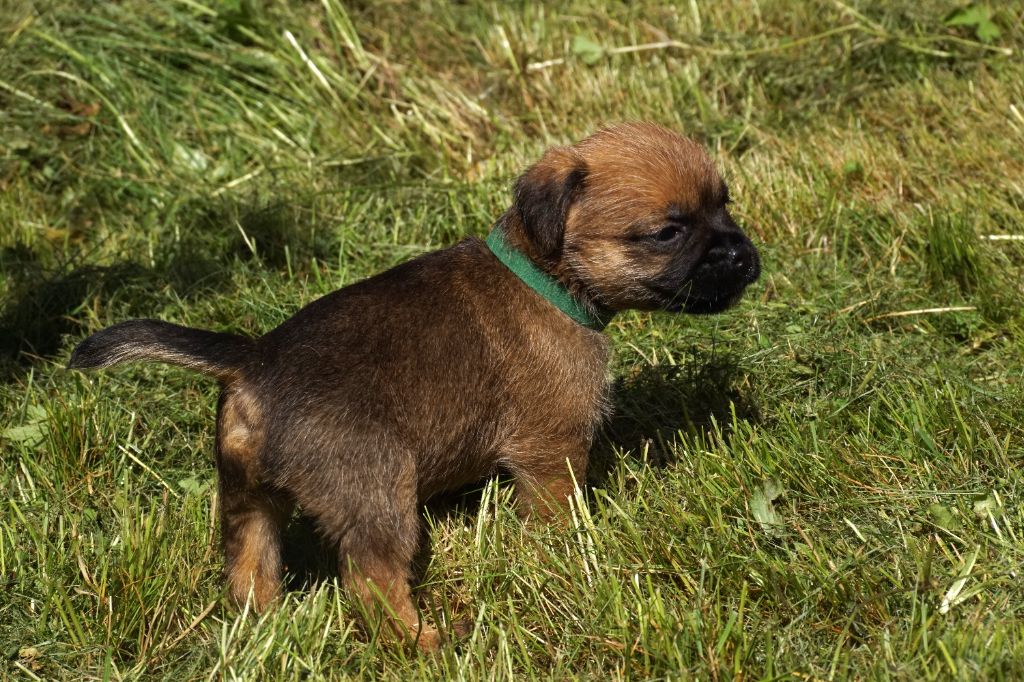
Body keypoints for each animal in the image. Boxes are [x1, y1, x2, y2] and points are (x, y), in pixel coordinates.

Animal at [68, 122, 761, 647]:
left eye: (725, 205)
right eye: (669, 231)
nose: (745, 255)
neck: (545, 274)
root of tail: (257, 359)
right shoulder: (553, 447)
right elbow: (556, 512)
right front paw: (571, 553)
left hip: (247, 499)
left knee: (249, 563)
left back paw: (264, 626)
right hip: (380, 496)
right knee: (371, 580)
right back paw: (422, 642)